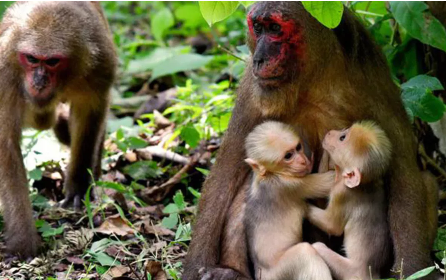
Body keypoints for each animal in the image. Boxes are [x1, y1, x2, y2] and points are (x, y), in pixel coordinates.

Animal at [0, 2, 116, 260]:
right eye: (31, 59)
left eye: (52, 61)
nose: (39, 82)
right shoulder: (4, 73)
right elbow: (6, 144)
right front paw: (23, 242)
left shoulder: (99, 64)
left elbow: (91, 111)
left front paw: (79, 186)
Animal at [244, 121, 334, 280]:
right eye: (288, 156)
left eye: (298, 148)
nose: (303, 161)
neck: (269, 175)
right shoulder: (289, 185)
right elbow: (332, 179)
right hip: (278, 274)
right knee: (305, 252)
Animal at [308, 121, 392, 280]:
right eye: (345, 130)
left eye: (342, 138)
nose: (329, 132)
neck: (365, 184)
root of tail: (372, 274)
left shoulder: (341, 193)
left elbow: (332, 226)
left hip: (351, 271)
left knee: (318, 246)